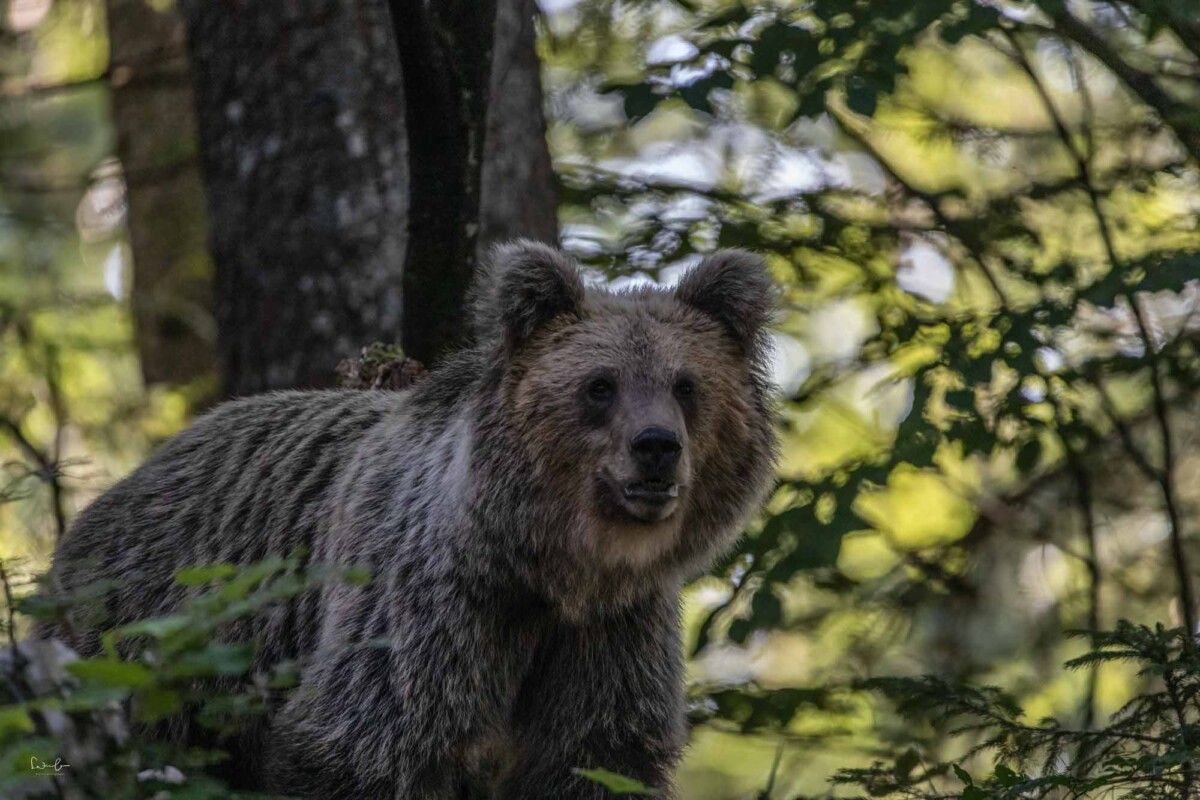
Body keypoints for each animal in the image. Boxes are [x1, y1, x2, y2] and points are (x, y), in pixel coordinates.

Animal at [44, 241, 777, 796]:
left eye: (686, 385)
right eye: (600, 385)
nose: (656, 447)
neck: (549, 569)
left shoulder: (609, 634)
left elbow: (597, 761)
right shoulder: (427, 605)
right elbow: (359, 743)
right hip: (151, 639)